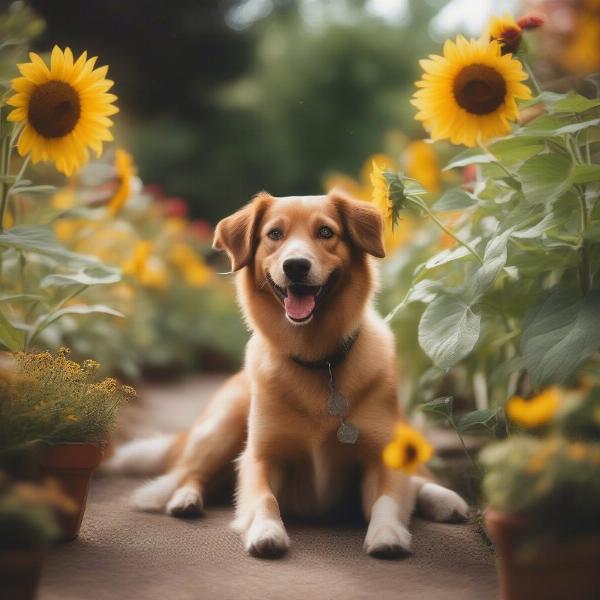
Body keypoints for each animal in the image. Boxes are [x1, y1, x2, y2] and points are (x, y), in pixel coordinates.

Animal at [104, 191, 468, 556]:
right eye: (274, 234)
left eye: (325, 232)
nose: (295, 265)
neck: (318, 360)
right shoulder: (260, 456)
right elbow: (263, 497)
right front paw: (266, 531)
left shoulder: (382, 456)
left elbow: (388, 498)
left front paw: (387, 534)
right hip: (224, 423)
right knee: (188, 473)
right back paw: (185, 499)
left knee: (419, 479)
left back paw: (445, 499)